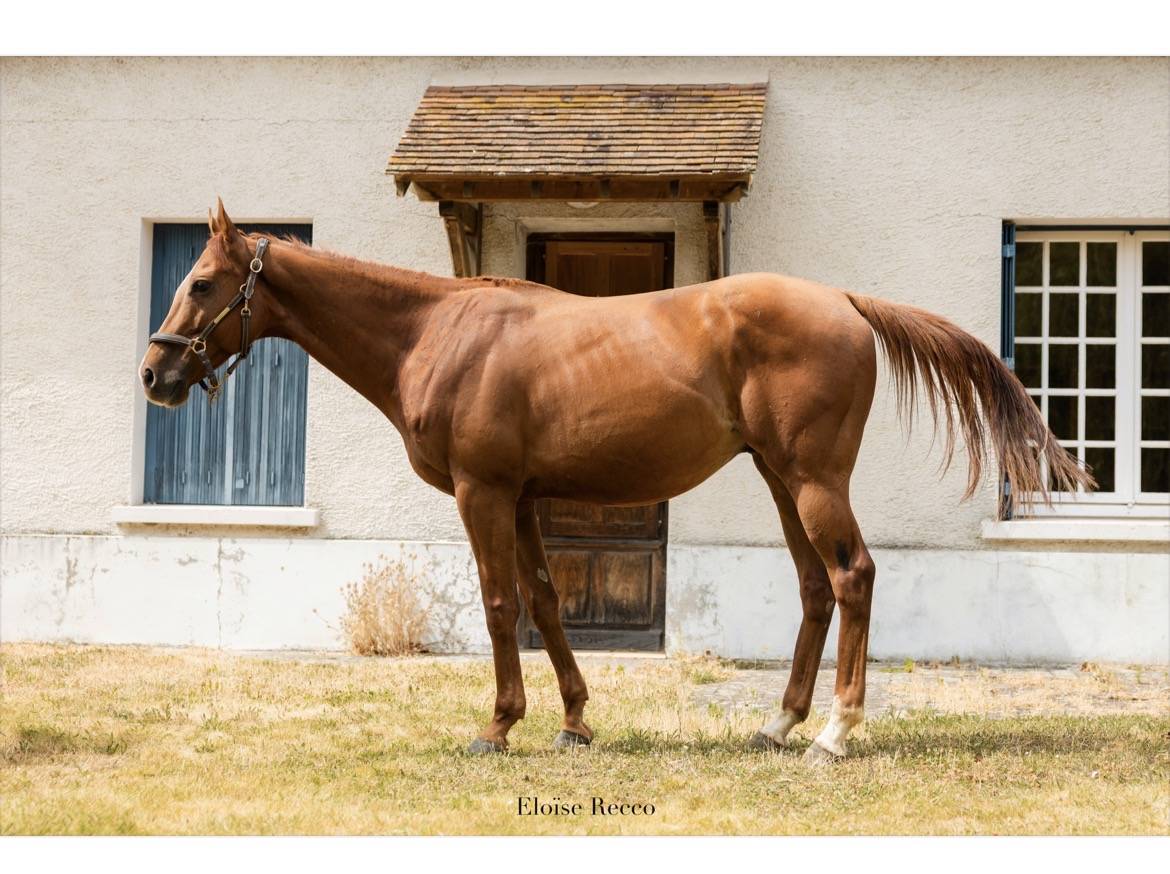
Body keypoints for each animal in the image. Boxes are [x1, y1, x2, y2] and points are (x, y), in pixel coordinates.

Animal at [139, 200, 1092, 762]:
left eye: (203, 282)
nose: (155, 374)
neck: (437, 334)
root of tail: (845, 303)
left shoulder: (484, 493)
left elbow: (498, 604)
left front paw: (498, 727)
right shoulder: (523, 497)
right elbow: (546, 600)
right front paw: (573, 721)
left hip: (814, 480)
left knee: (853, 577)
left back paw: (834, 733)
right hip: (782, 481)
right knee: (817, 588)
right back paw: (777, 722)